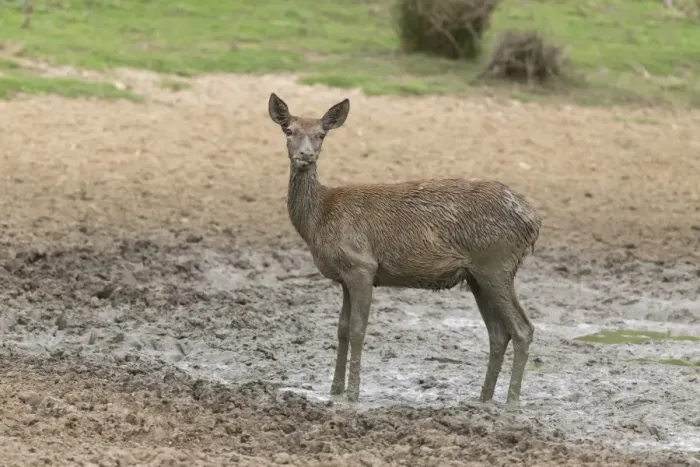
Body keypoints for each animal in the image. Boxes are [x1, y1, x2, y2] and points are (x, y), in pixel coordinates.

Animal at [268, 93, 542, 406]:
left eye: (321, 134)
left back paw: (512, 402)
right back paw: (483, 399)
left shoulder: (361, 265)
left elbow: (358, 329)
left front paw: (353, 394)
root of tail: (533, 220)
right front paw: (334, 390)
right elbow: (341, 329)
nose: (306, 155)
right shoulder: (344, 277)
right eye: (289, 130)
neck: (318, 221)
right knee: (498, 332)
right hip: (478, 275)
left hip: (496, 263)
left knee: (522, 328)